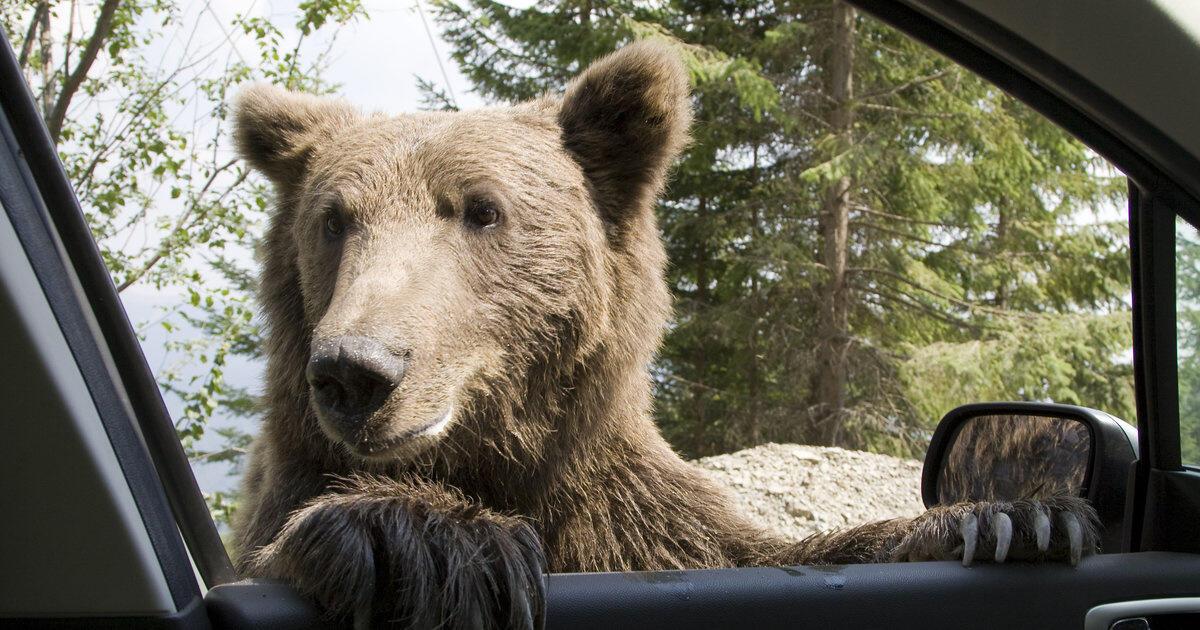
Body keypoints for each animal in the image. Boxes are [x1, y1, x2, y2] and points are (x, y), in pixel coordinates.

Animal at [229, 41, 1099, 624]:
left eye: (480, 209)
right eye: (335, 219)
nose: (357, 370)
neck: (496, 458)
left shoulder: (626, 516)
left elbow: (760, 551)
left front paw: (1009, 517)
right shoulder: (292, 486)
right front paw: (430, 541)